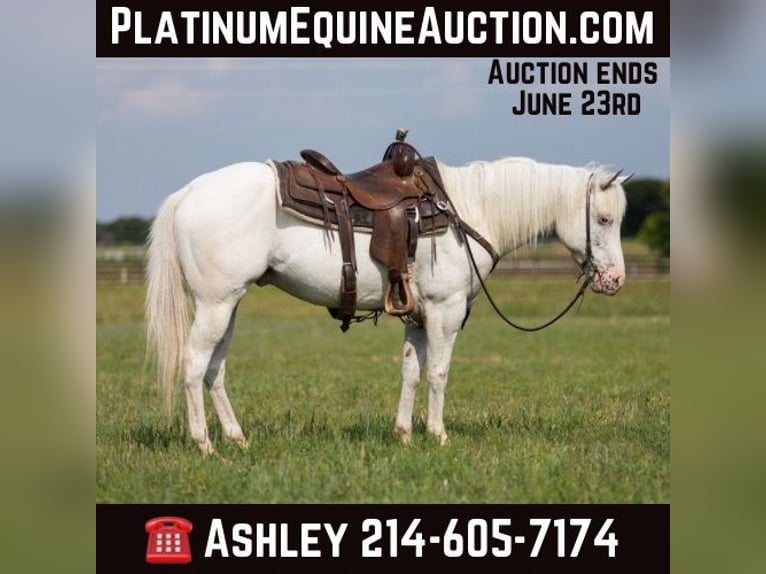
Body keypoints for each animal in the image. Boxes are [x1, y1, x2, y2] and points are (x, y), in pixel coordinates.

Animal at [145, 154, 628, 455]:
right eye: (604, 219)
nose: (615, 280)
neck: (466, 211)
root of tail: (188, 193)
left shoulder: (418, 316)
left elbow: (411, 372)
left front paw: (404, 434)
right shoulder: (445, 312)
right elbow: (438, 373)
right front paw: (438, 435)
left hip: (228, 306)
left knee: (214, 370)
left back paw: (236, 438)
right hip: (215, 305)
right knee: (193, 366)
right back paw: (204, 443)